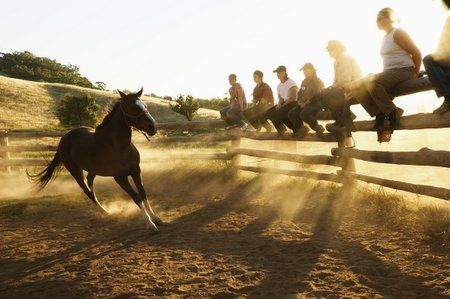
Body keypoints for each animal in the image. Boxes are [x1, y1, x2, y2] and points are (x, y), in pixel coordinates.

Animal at [28, 88, 162, 234]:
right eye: (133, 107)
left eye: (145, 106)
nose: (152, 127)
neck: (119, 146)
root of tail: (63, 139)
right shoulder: (120, 177)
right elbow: (136, 197)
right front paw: (150, 225)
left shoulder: (136, 171)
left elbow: (143, 193)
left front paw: (155, 218)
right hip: (75, 172)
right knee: (87, 192)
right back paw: (106, 212)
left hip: (93, 170)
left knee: (91, 187)